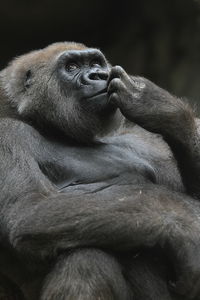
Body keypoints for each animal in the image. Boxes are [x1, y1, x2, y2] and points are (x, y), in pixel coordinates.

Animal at [0, 41, 200, 298]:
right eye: (72, 67)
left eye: (96, 63)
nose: (99, 75)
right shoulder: (5, 133)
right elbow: (28, 209)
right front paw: (185, 227)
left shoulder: (141, 140)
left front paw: (163, 110)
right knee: (86, 259)